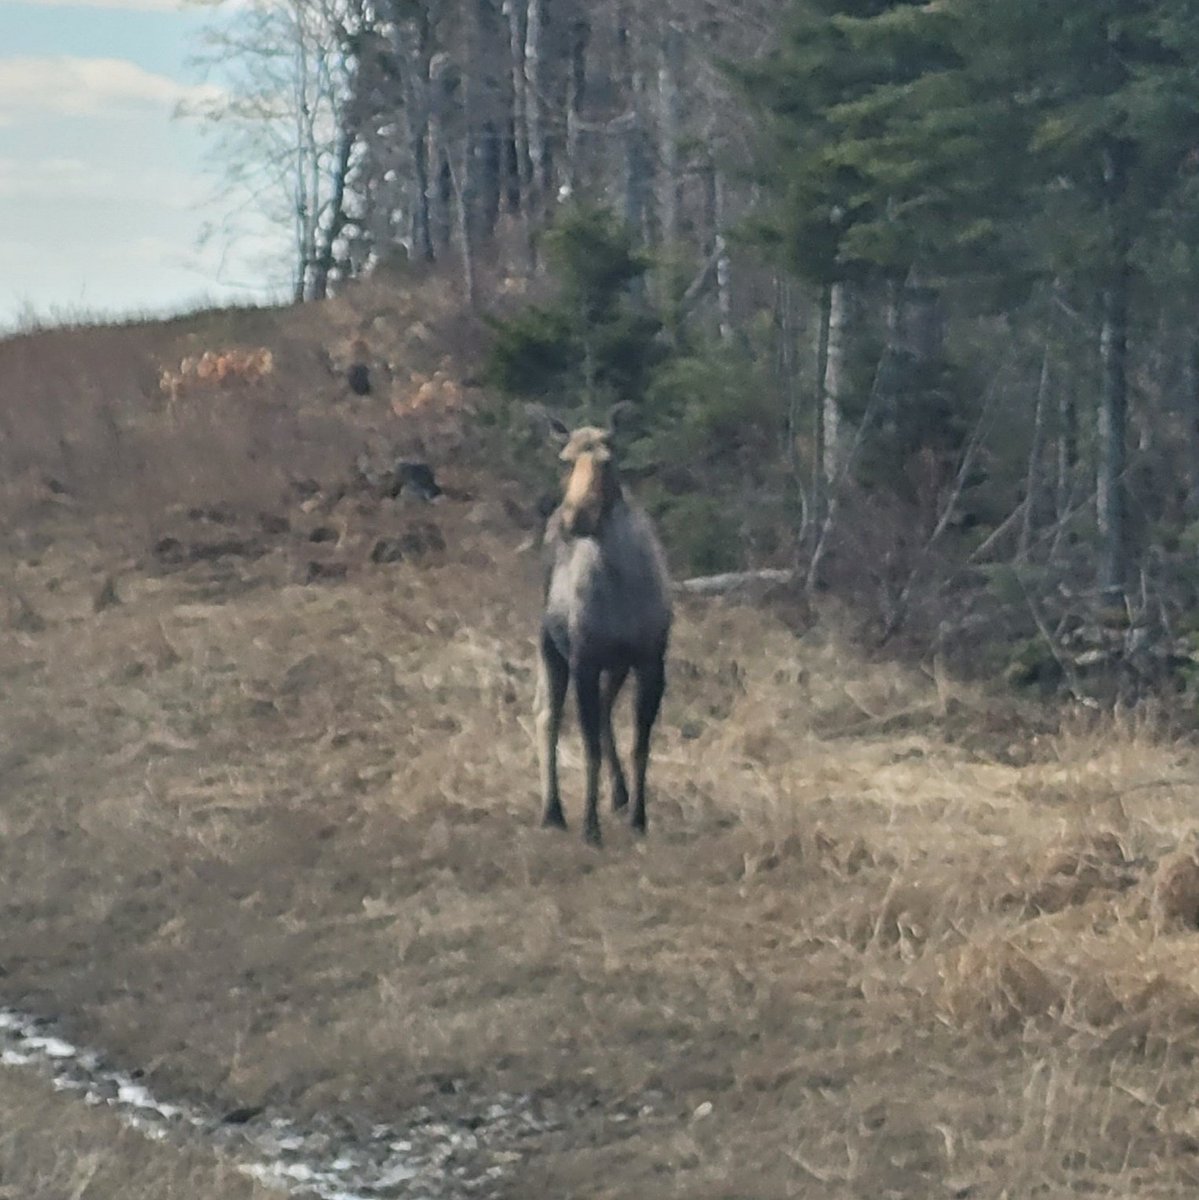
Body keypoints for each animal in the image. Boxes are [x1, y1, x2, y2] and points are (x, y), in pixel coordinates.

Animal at [537, 410, 676, 844]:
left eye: (607, 459)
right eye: (565, 461)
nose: (575, 518)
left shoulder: (650, 661)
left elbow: (640, 745)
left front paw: (639, 818)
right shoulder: (584, 660)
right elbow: (589, 749)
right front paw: (590, 828)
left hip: (615, 666)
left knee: (602, 711)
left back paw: (619, 794)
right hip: (549, 645)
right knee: (547, 717)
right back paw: (552, 811)